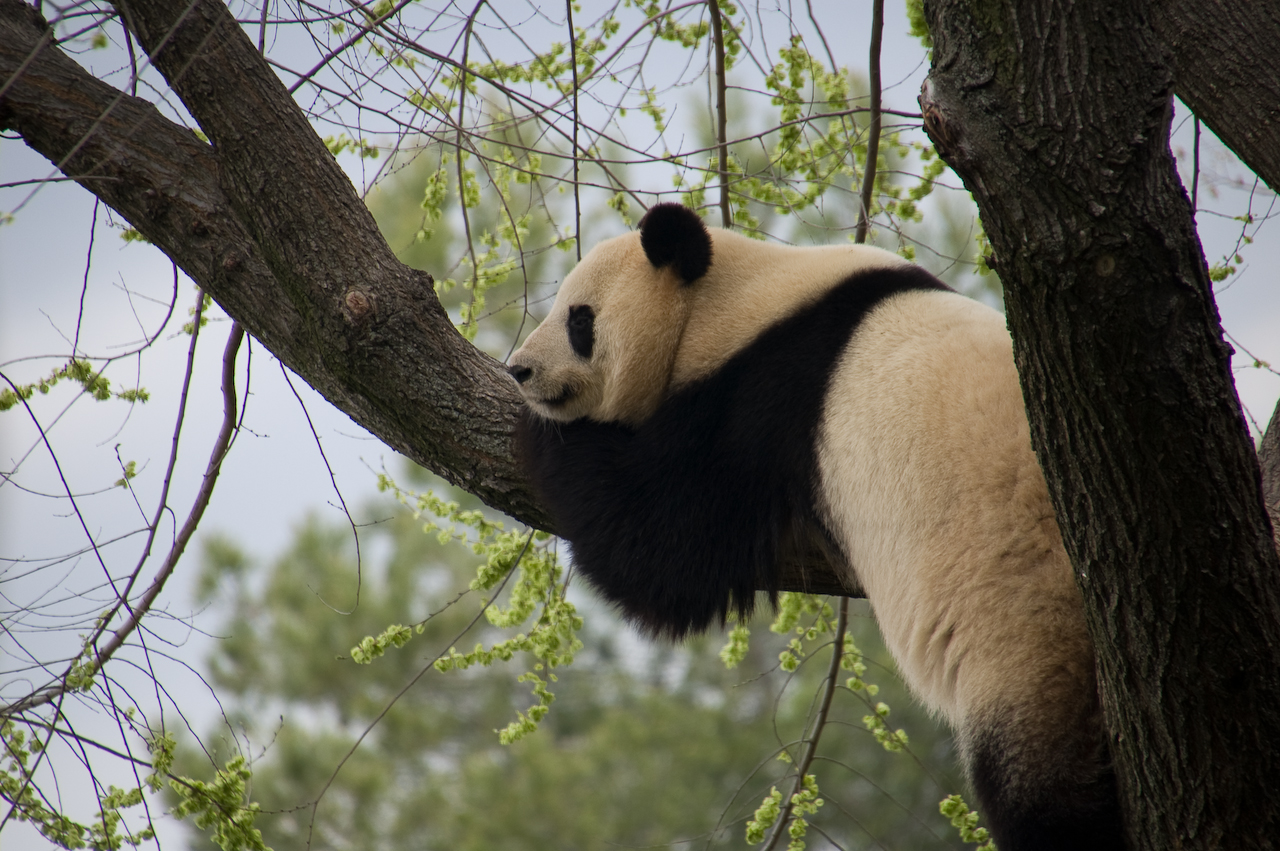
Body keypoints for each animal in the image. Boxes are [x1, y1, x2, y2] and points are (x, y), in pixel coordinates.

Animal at [504, 204, 1126, 849]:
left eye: (580, 319)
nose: (518, 369)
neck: (730, 304)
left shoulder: (762, 400)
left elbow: (664, 552)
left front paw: (549, 438)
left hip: (1024, 623)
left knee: (1036, 783)